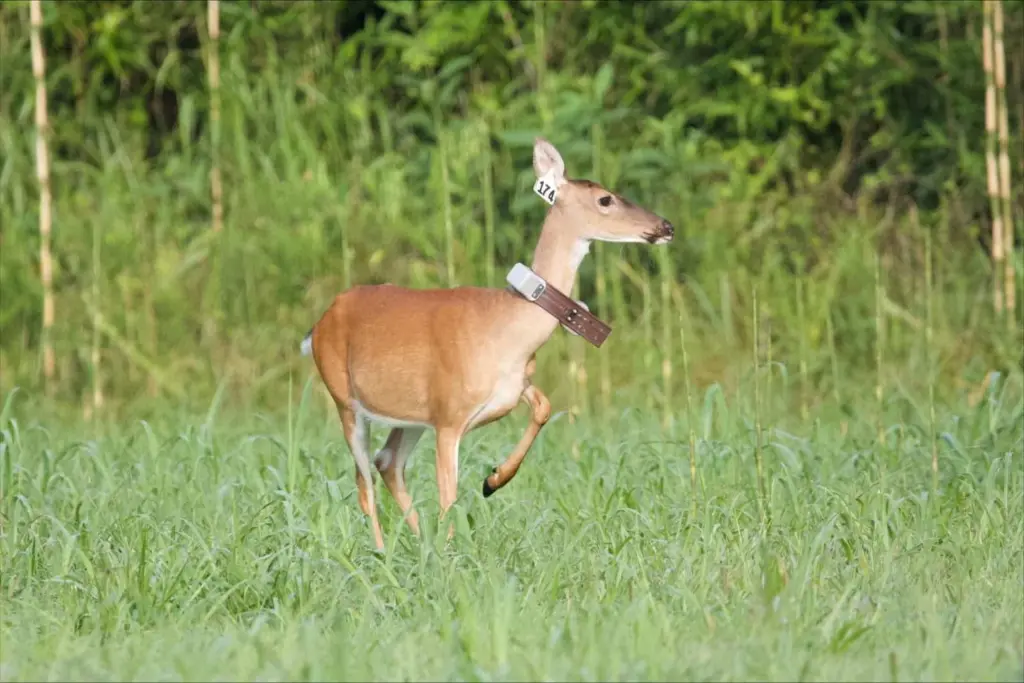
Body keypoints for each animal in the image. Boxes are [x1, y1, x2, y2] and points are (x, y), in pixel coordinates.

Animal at [301, 138, 674, 550]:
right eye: (605, 199)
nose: (666, 226)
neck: (510, 327)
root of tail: (317, 326)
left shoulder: (508, 385)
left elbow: (544, 407)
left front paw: (493, 481)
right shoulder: (449, 414)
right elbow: (448, 495)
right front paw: (455, 548)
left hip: (410, 414)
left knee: (388, 461)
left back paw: (421, 542)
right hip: (345, 400)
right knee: (364, 481)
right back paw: (385, 554)